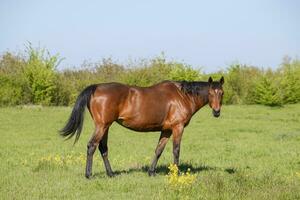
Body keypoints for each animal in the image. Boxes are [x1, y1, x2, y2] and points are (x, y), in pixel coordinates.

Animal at [59, 76, 224, 178]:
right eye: (211, 92)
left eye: (221, 93)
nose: (217, 112)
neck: (182, 96)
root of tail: (96, 87)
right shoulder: (178, 127)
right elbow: (176, 150)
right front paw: (176, 173)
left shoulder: (166, 130)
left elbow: (158, 150)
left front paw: (152, 172)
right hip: (102, 126)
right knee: (92, 146)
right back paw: (88, 174)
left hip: (105, 127)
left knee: (103, 148)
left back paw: (111, 174)